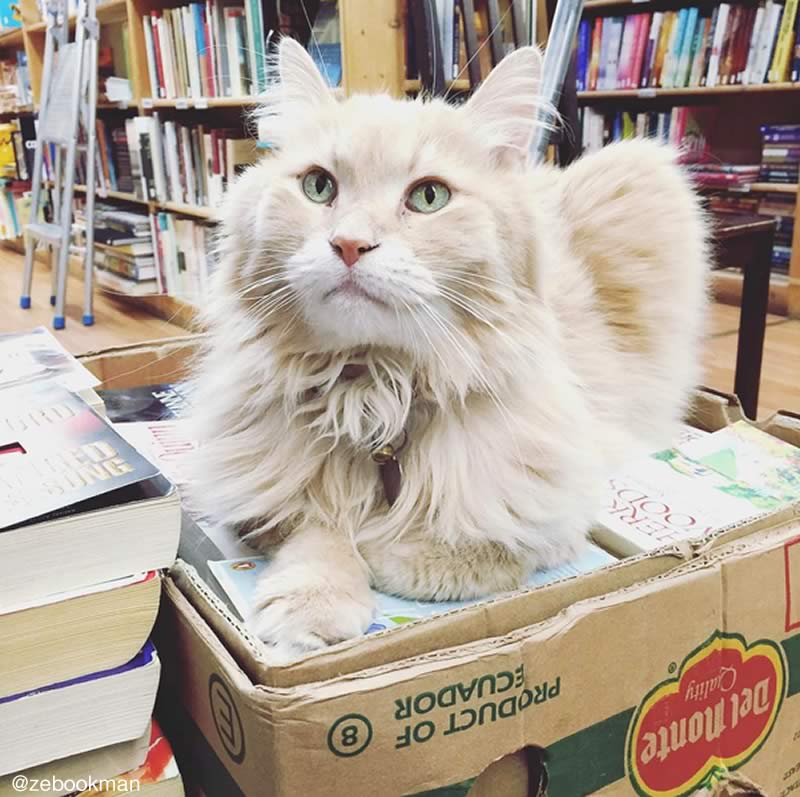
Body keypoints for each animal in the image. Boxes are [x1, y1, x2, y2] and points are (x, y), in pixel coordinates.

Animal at [189, 38, 712, 660]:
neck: (376, 391)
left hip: (640, 173)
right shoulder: (271, 506)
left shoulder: (560, 508)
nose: (349, 245)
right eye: (319, 187)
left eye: (429, 196)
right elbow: (317, 531)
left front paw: (382, 551)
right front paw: (314, 603)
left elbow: (462, 552)